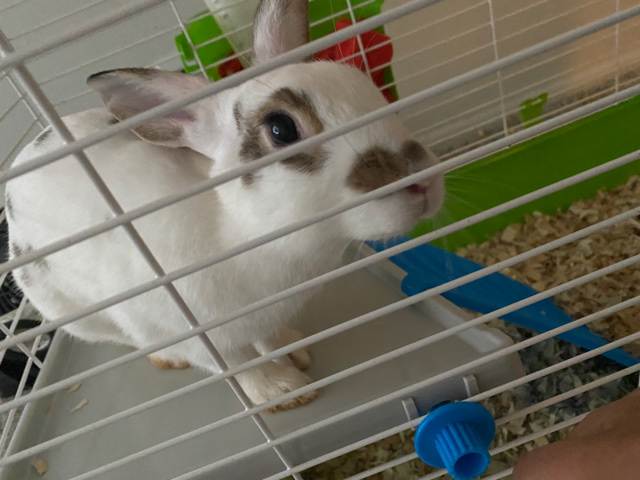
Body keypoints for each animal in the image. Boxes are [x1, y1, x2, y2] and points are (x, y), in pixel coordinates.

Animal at [4, 0, 445, 411]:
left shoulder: (264, 315)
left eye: (361, 83)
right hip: (82, 314)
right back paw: (169, 360)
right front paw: (284, 392)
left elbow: (267, 338)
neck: (244, 230)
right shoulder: (200, 335)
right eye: (281, 129)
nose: (421, 179)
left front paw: (295, 353)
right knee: (134, 341)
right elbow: (239, 366)